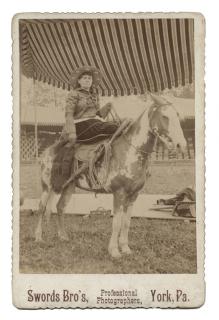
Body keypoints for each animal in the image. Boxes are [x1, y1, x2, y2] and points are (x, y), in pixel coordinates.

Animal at [34, 94, 186, 258]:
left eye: (177, 115)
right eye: (164, 116)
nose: (181, 145)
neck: (130, 151)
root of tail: (48, 151)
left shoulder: (134, 195)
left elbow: (126, 222)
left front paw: (125, 248)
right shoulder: (119, 193)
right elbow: (117, 222)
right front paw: (114, 250)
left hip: (69, 186)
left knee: (60, 207)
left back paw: (62, 236)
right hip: (47, 186)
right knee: (41, 208)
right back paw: (38, 237)